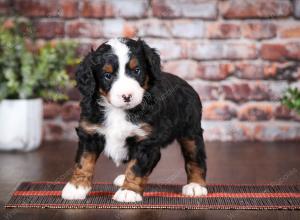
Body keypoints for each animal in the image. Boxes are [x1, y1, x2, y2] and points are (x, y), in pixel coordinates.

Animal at [61, 38, 206, 203]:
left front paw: (129, 191)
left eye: (137, 70)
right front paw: (76, 187)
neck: (117, 110)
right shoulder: (89, 133)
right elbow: (84, 162)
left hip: (191, 132)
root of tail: (186, 84)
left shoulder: (146, 141)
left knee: (195, 158)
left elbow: (136, 167)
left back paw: (196, 186)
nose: (127, 96)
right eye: (107, 75)